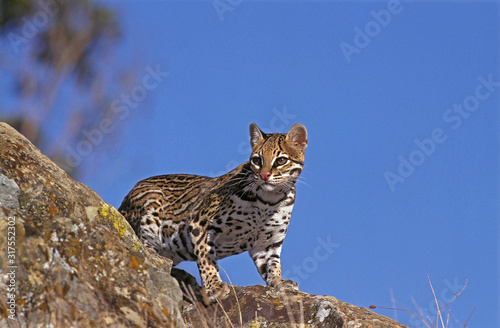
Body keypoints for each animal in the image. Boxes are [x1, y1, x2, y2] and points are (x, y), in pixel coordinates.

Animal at [119, 123, 306, 302]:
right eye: (257, 160)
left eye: (281, 160)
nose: (264, 175)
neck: (269, 200)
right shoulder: (199, 220)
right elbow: (205, 256)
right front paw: (214, 287)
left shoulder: (268, 241)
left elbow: (272, 264)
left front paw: (279, 281)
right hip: (151, 203)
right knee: (146, 252)